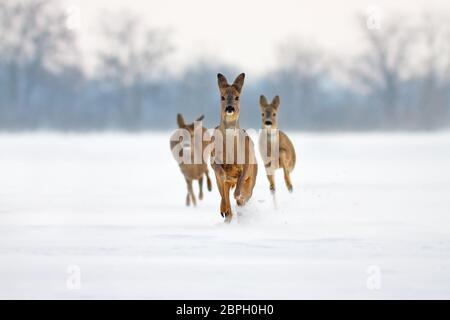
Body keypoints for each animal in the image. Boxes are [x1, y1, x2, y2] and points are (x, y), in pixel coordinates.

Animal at [210, 72, 256, 222]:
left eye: (237, 97)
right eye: (222, 97)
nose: (229, 108)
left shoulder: (246, 163)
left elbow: (239, 189)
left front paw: (239, 198)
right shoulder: (213, 160)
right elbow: (220, 173)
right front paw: (225, 210)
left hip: (253, 176)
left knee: (245, 194)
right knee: (224, 195)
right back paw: (225, 212)